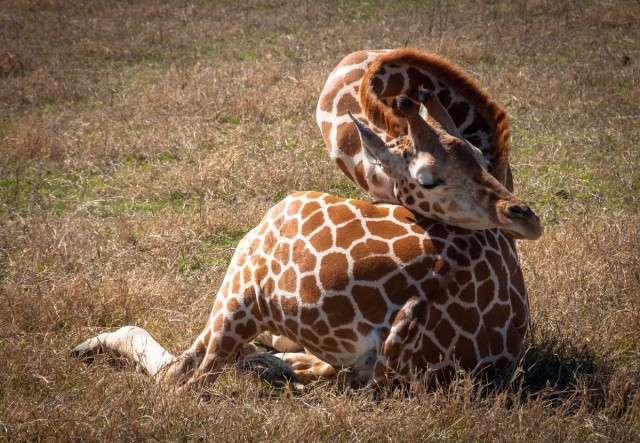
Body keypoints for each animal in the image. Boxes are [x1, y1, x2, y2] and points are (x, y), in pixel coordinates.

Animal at [73, 95, 542, 389]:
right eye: (428, 178)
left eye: (480, 158)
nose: (524, 216)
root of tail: (417, 306)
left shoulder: (241, 287)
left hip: (244, 292)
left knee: (184, 374)